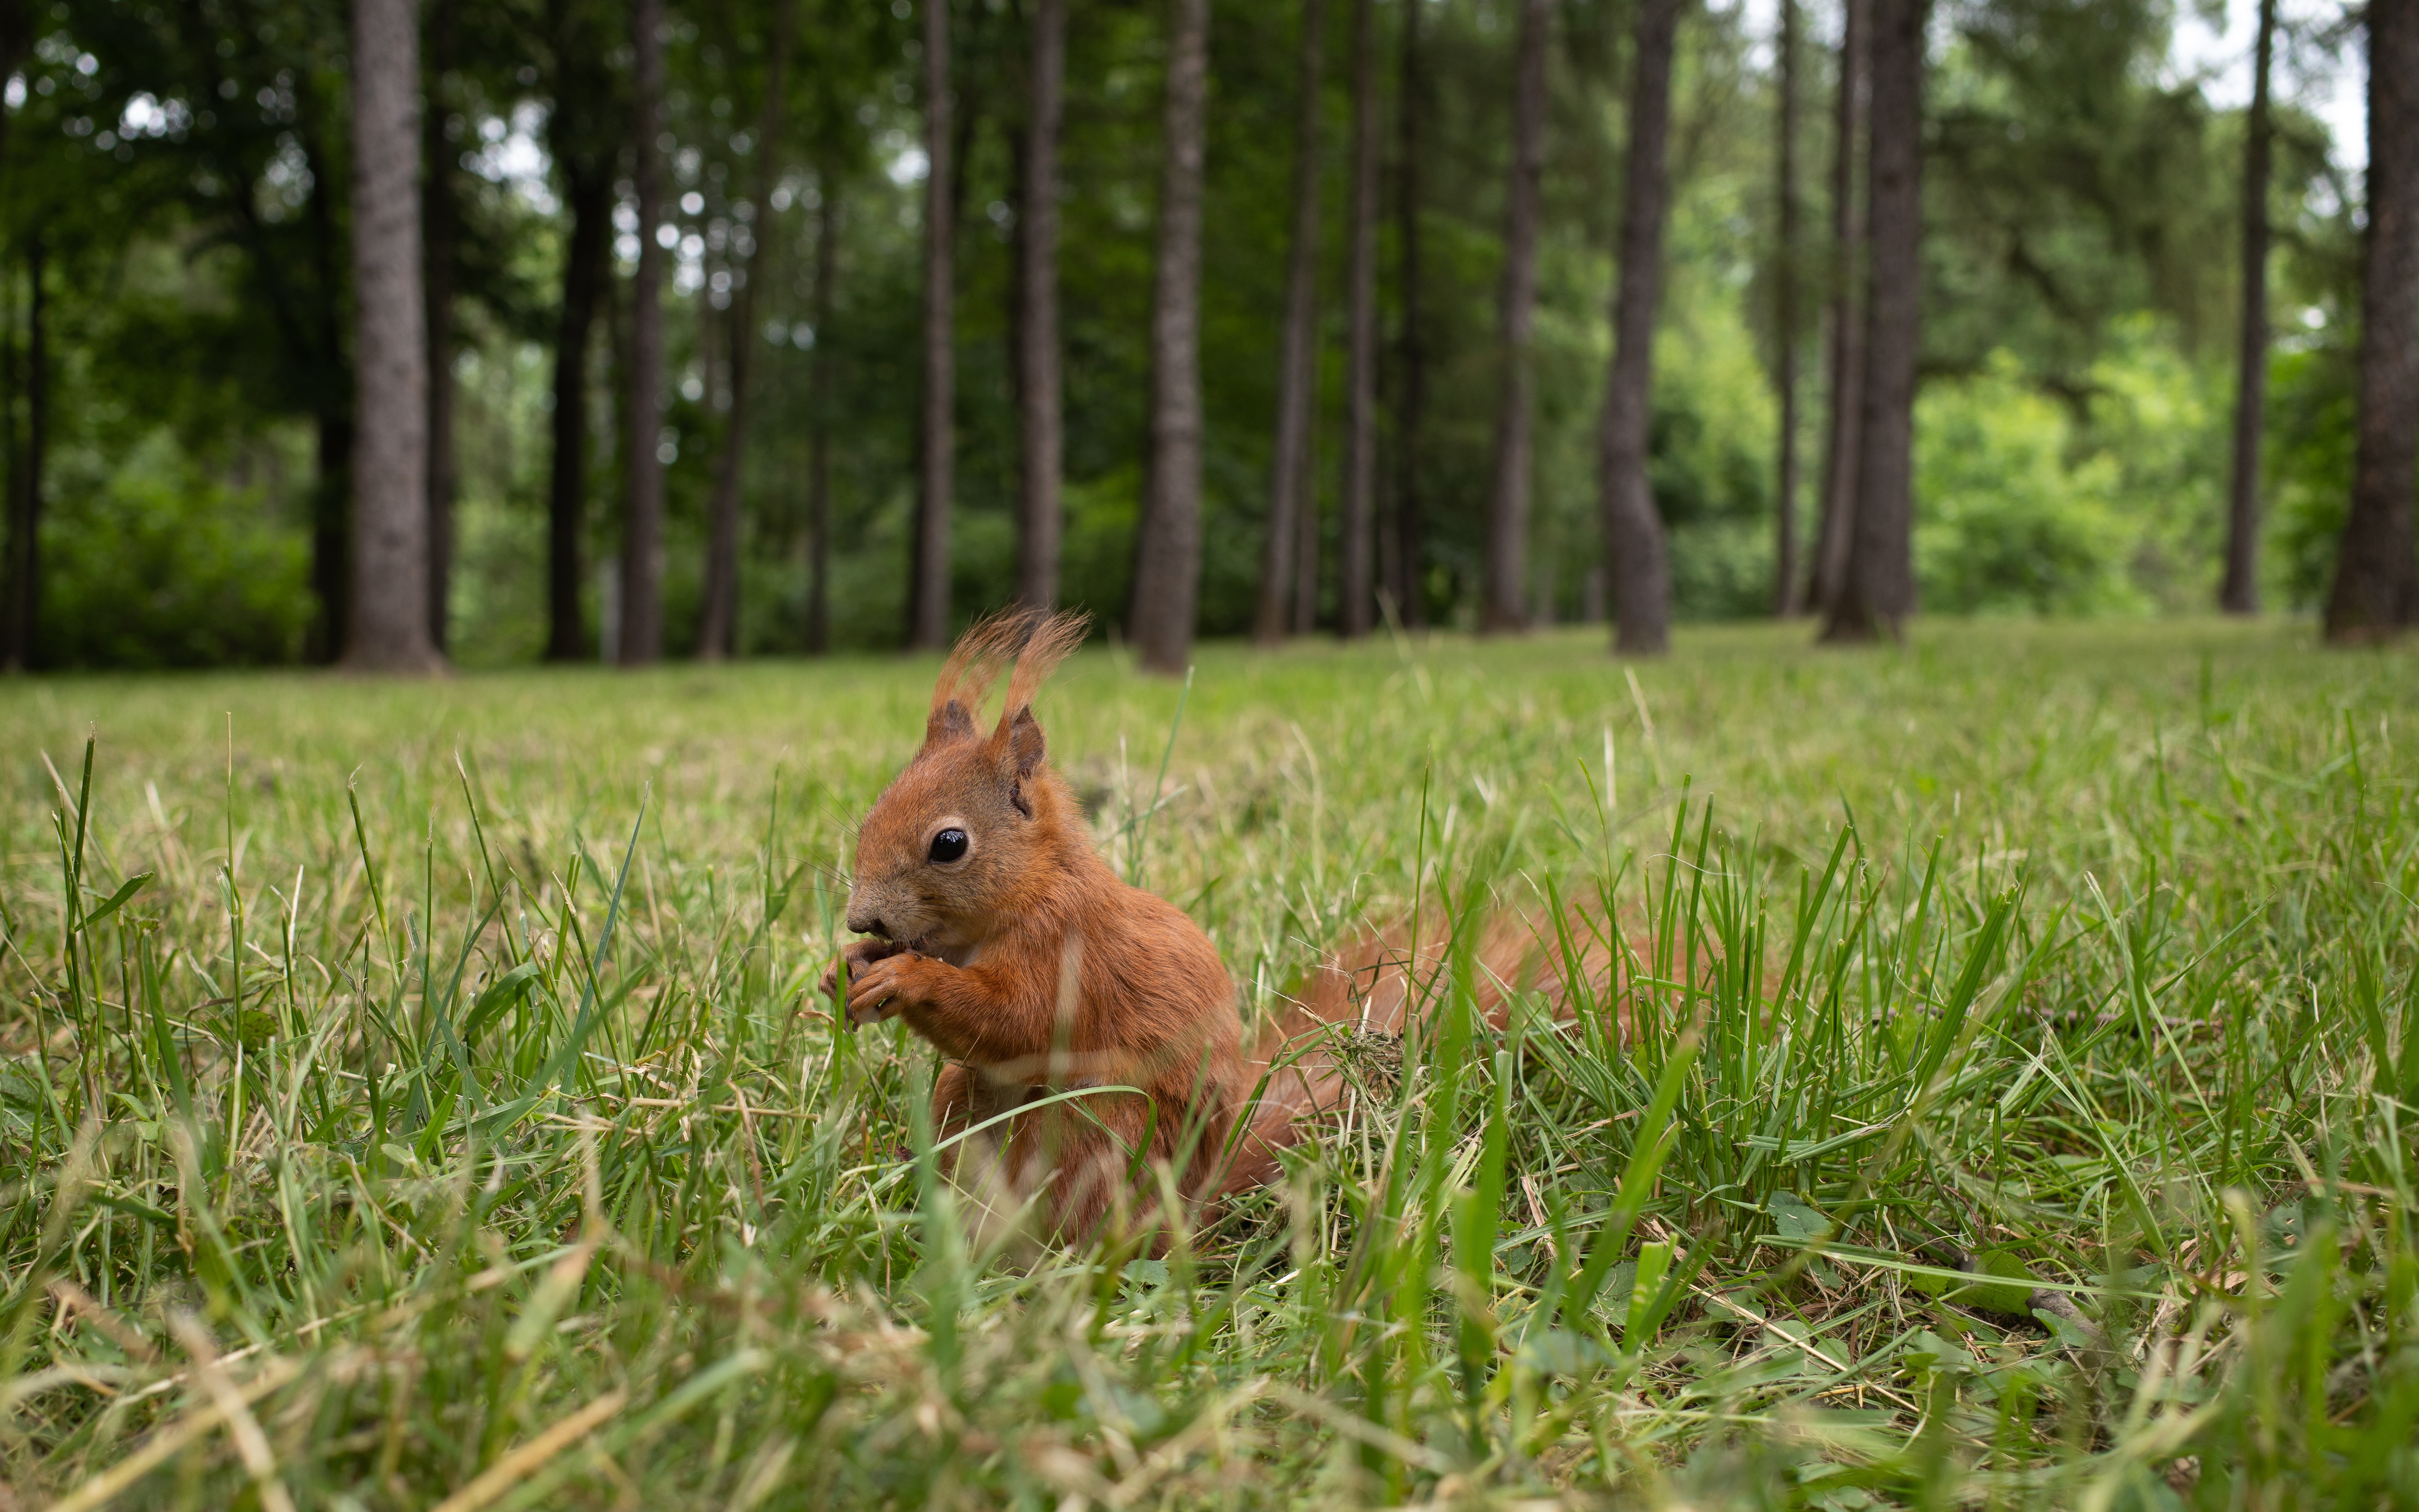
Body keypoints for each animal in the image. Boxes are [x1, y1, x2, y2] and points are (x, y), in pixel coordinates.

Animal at [823, 608, 1614, 1243]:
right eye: (872, 812)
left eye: (949, 844)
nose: (862, 914)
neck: (1026, 892)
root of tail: (1189, 1210)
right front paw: (848, 967)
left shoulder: (1066, 950)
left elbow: (1019, 1020)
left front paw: (907, 979)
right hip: (968, 1105)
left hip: (1096, 1133)